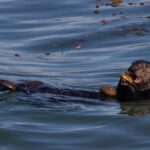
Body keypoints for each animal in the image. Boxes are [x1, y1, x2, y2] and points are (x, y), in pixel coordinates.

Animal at [0, 60, 149, 101]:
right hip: (35, 82)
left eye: (144, 66)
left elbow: (133, 94)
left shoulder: (142, 95)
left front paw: (128, 84)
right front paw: (122, 80)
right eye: (132, 63)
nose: (132, 68)